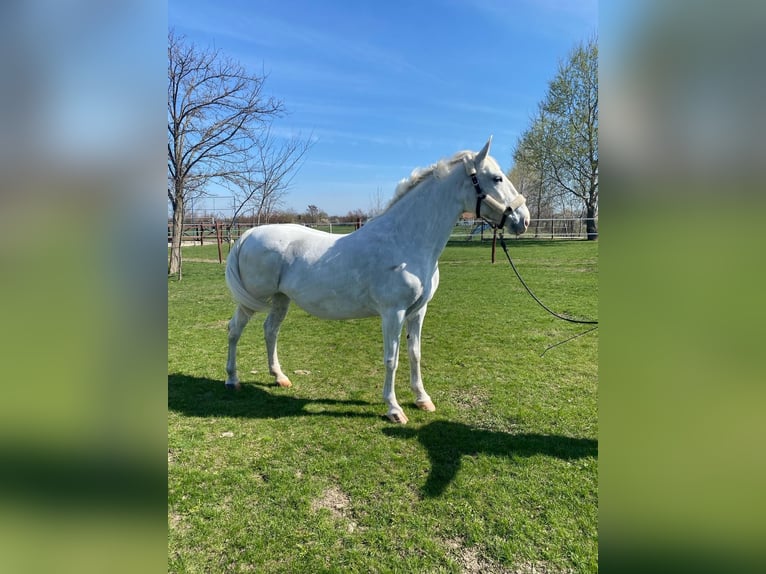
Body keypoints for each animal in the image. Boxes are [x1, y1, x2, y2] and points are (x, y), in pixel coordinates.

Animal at [225, 137, 532, 426]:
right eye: (497, 178)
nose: (524, 220)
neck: (406, 240)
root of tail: (247, 235)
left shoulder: (418, 312)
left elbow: (415, 354)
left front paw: (422, 399)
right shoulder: (392, 313)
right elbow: (391, 359)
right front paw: (394, 409)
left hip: (281, 299)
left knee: (270, 331)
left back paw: (279, 377)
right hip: (253, 300)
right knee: (235, 330)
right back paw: (232, 380)